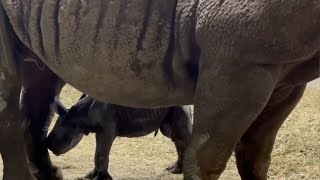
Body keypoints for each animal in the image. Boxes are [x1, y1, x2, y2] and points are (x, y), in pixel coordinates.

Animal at [47, 95, 192, 179]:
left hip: (178, 106)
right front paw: (91, 175)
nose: (48, 145)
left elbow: (99, 154)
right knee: (176, 138)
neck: (79, 116)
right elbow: (101, 153)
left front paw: (101, 178)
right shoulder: (103, 131)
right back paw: (175, 170)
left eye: (56, 136)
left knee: (180, 137)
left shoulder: (106, 129)